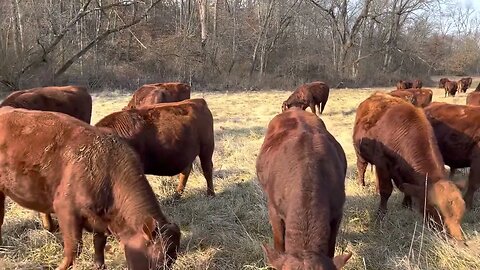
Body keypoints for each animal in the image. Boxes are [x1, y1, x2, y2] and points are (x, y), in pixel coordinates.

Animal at [0, 107, 181, 270]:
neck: (108, 170)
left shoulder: (100, 221)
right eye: (158, 261)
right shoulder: (66, 211)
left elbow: (99, 244)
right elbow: (74, 248)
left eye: (172, 261)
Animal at [352, 92, 464, 240]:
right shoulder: (382, 163)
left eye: (460, 214)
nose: (458, 240)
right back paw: (361, 184)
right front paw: (381, 216)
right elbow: (386, 190)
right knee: (362, 167)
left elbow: (406, 187)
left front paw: (407, 205)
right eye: (437, 211)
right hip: (360, 154)